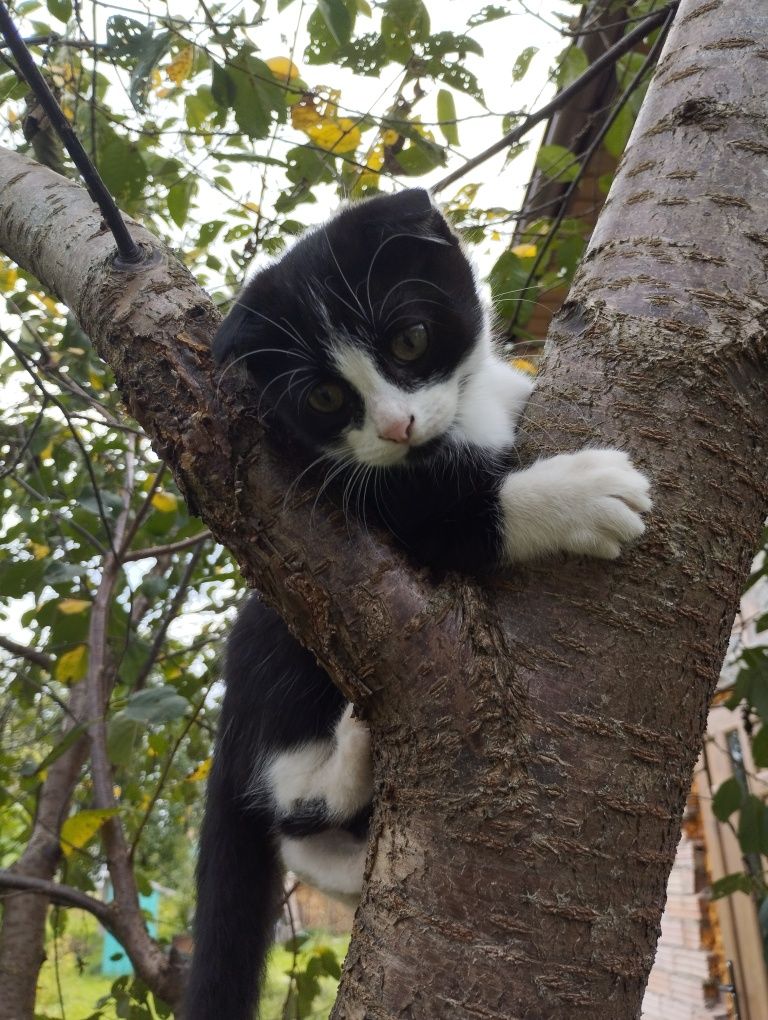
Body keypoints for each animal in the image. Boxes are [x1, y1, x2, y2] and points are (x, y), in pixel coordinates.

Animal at [182, 187, 648, 1015]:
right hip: (280, 626)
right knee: (284, 800)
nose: (397, 426)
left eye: (410, 340)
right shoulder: (362, 500)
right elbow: (456, 516)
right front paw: (585, 493)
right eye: (326, 396)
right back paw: (346, 762)